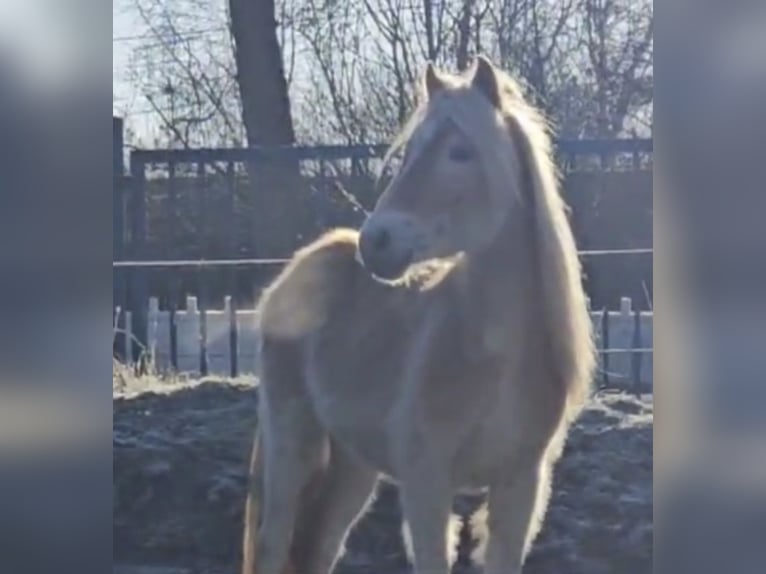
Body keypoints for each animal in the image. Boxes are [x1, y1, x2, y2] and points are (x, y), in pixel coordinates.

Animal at [243, 55, 596, 574]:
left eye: (460, 152)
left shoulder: (519, 486)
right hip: (293, 447)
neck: (492, 355)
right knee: (274, 543)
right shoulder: (427, 483)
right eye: (409, 151)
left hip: (353, 464)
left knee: (319, 548)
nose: (377, 243)